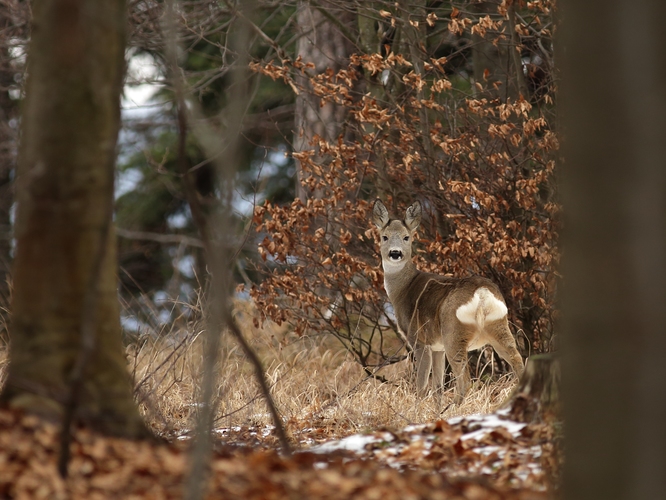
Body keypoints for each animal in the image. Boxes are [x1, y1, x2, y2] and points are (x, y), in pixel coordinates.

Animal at [370, 197, 520, 404]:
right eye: (384, 237)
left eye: (406, 237)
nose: (395, 253)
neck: (403, 289)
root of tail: (482, 294)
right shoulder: (437, 347)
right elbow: (438, 387)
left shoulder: (419, 340)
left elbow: (422, 386)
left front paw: (418, 408)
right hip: (499, 326)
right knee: (519, 361)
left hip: (453, 333)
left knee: (464, 380)